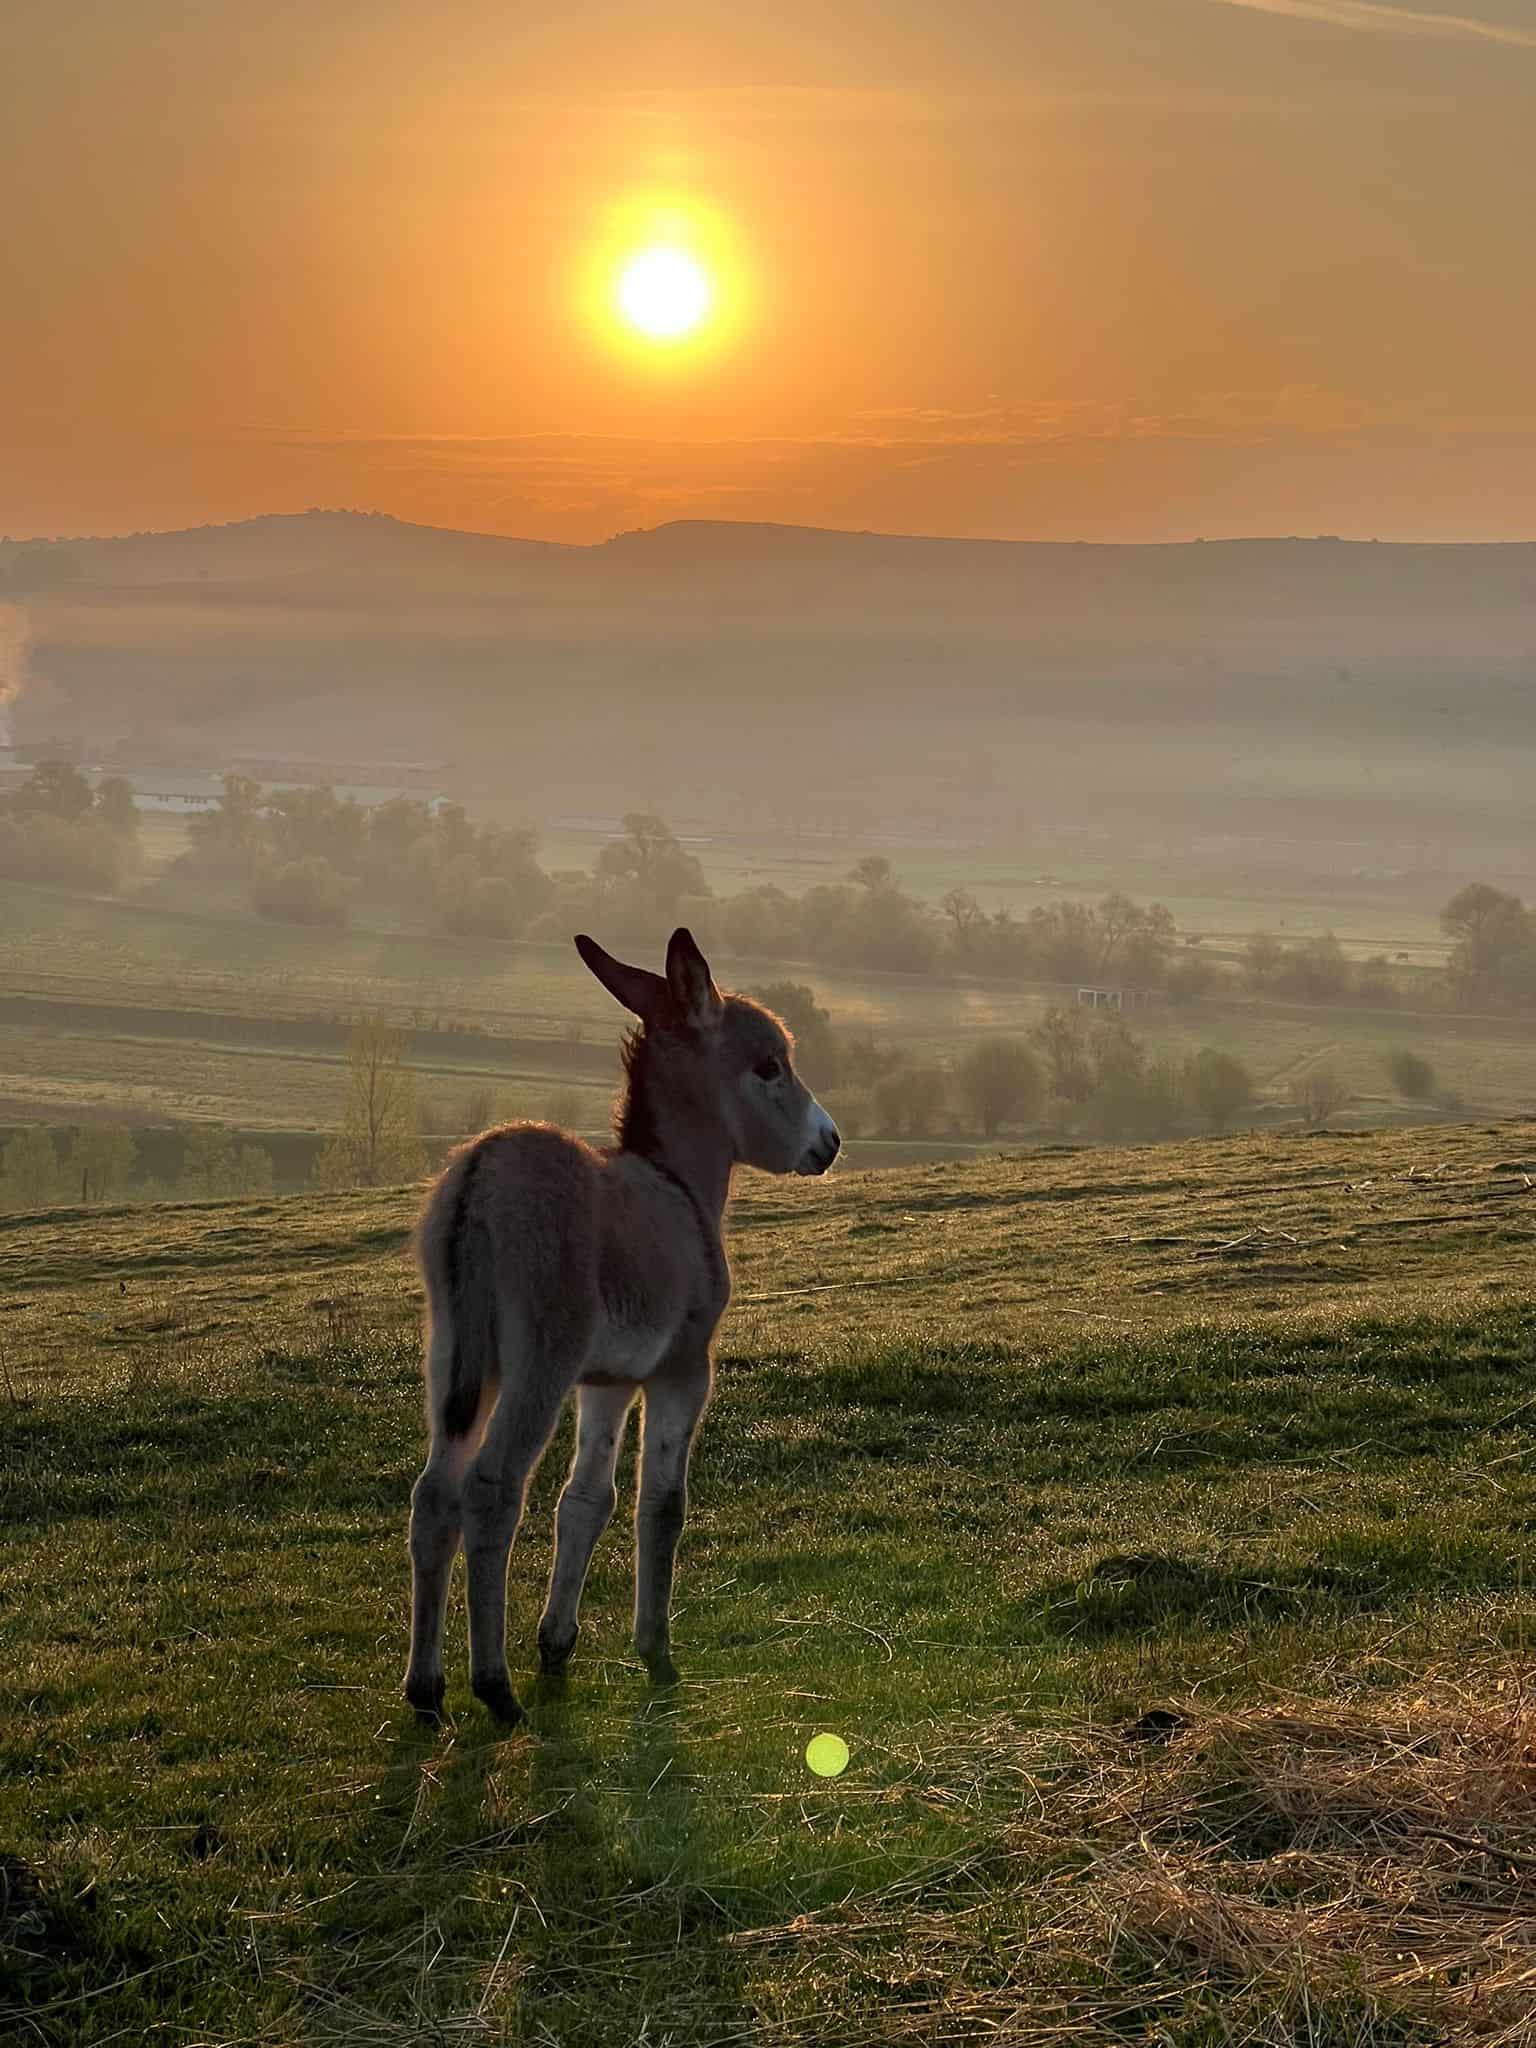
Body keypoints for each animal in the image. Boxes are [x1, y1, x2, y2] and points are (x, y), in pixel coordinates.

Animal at [405, 937, 843, 1720]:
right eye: (771, 1065)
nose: (831, 1142)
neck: (679, 1189)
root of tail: (481, 1172)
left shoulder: (606, 1382)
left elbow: (586, 1500)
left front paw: (556, 1644)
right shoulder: (683, 1371)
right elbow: (662, 1504)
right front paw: (657, 1652)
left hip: (453, 1357)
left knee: (435, 1497)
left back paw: (426, 1692)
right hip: (538, 1361)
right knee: (491, 1489)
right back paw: (494, 1688)